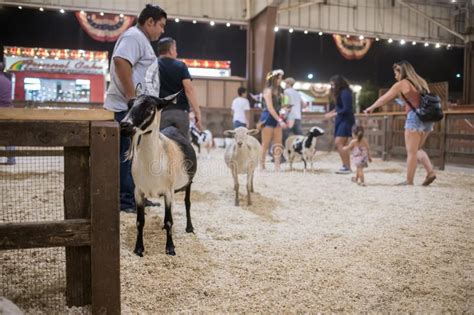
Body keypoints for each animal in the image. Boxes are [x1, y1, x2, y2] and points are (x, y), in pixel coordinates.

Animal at [122, 92, 198, 258]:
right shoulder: (138, 192)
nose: (125, 125)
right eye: (129, 104)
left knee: (187, 204)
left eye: (150, 107)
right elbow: (140, 221)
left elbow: (170, 220)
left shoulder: (169, 192)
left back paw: (190, 228)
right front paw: (138, 249)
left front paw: (170, 248)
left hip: (188, 183)